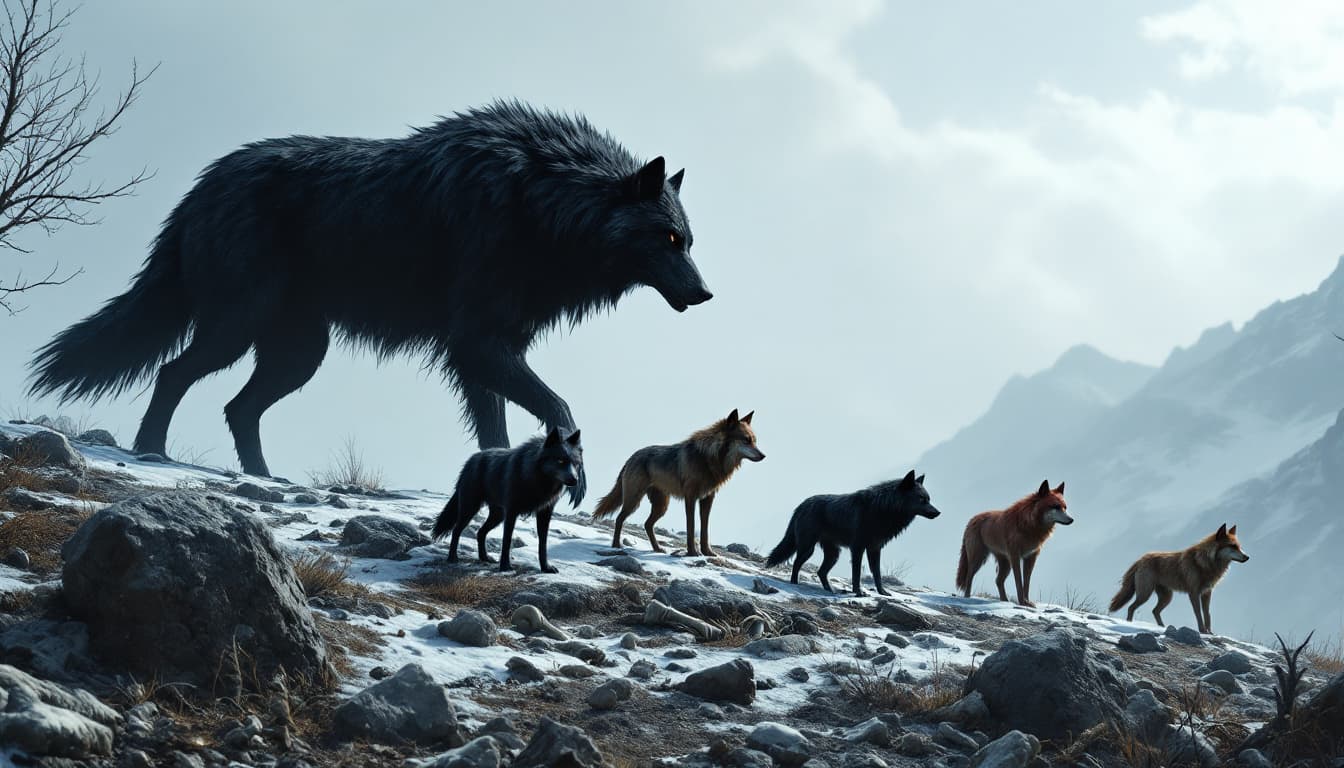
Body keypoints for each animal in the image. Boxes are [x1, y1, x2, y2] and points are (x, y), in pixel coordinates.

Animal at [27, 101, 712, 504]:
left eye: (688, 241)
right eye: (668, 238)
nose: (706, 293)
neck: (542, 201)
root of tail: (198, 189)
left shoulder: (488, 350)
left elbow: (497, 425)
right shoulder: (478, 343)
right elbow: (559, 406)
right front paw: (573, 475)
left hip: (300, 353)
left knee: (237, 407)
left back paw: (262, 475)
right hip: (238, 328)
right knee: (174, 374)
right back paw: (151, 453)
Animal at [431, 426, 582, 574]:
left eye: (575, 464)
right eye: (560, 461)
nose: (575, 480)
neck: (536, 478)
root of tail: (471, 460)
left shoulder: (545, 513)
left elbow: (542, 543)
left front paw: (546, 567)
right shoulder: (511, 511)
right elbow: (507, 540)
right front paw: (505, 566)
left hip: (497, 516)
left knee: (480, 532)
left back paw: (484, 558)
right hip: (470, 509)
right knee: (456, 530)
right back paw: (452, 558)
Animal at [591, 409, 763, 556]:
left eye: (754, 441)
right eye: (746, 440)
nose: (763, 455)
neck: (709, 458)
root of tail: (632, 457)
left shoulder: (707, 499)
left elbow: (704, 530)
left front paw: (707, 552)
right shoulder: (690, 497)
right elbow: (691, 526)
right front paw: (692, 553)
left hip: (661, 506)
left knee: (647, 524)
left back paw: (657, 549)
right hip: (634, 501)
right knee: (620, 518)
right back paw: (616, 546)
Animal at [764, 470, 940, 597]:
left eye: (929, 499)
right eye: (922, 499)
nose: (938, 513)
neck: (883, 509)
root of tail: (802, 505)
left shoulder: (875, 549)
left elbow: (877, 574)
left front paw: (882, 592)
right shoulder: (858, 548)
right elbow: (856, 574)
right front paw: (858, 592)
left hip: (834, 554)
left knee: (820, 572)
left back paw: (830, 591)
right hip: (808, 548)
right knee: (796, 563)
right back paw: (795, 583)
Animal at [1108, 523, 1249, 634]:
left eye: (1239, 546)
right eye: (1232, 546)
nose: (1247, 557)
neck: (1204, 563)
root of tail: (1141, 559)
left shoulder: (1207, 593)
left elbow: (1207, 614)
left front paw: (1209, 632)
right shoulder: (1194, 593)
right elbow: (1198, 614)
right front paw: (1202, 631)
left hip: (1166, 597)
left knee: (1154, 611)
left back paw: (1162, 627)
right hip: (1145, 594)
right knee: (1131, 607)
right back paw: (1130, 624)